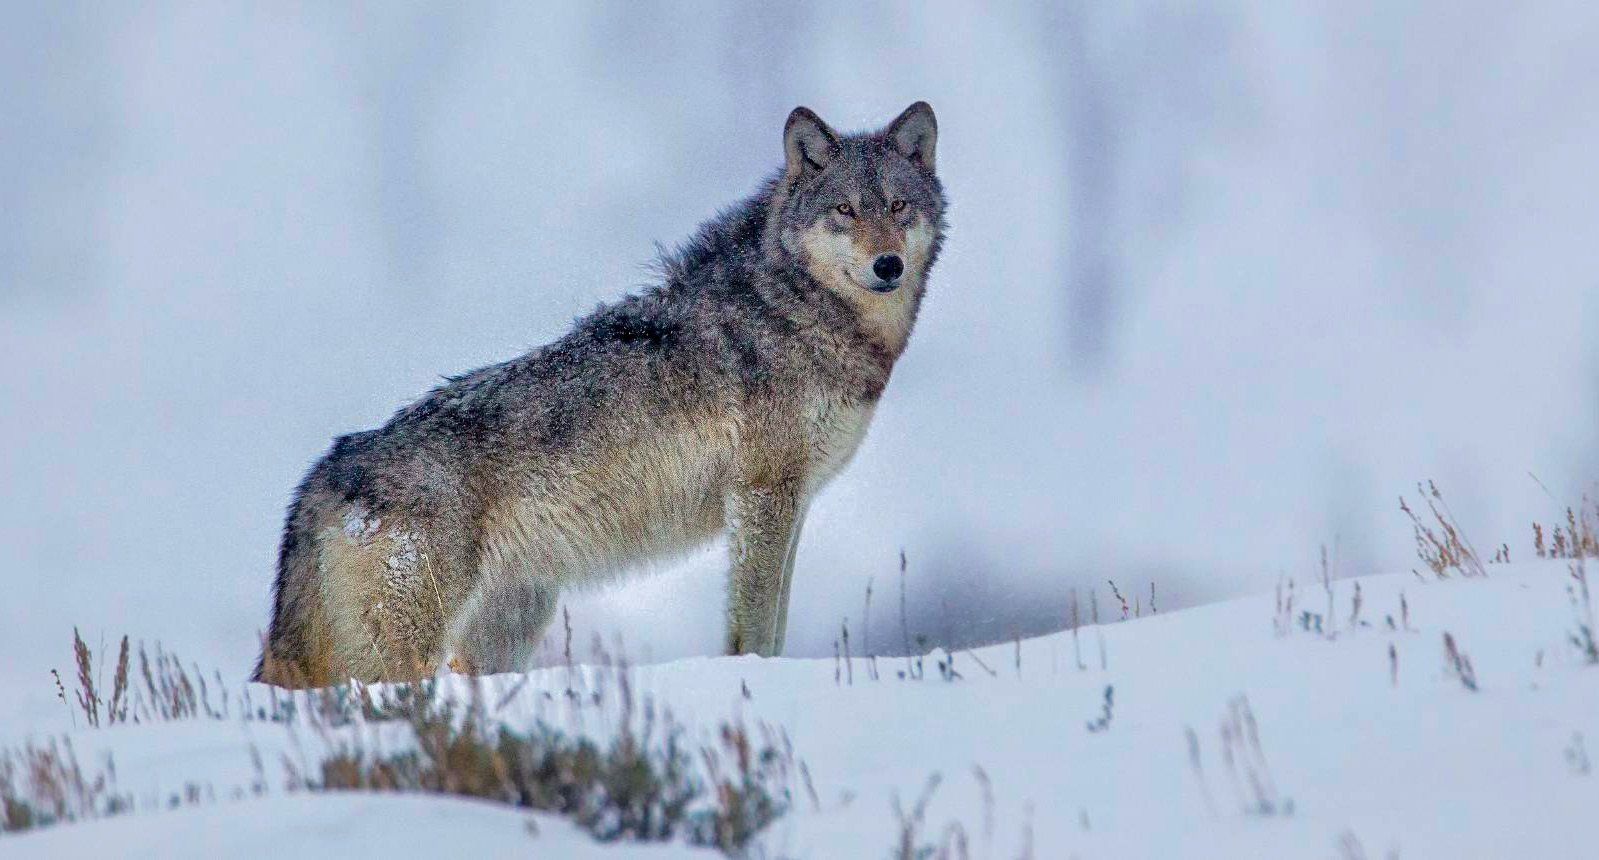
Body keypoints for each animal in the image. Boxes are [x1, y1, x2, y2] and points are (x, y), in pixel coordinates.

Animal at [254, 102, 946, 687]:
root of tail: (323, 475)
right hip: (399, 653)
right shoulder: (762, 499)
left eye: (897, 205)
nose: (887, 265)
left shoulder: (793, 505)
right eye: (846, 211)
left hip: (506, 626)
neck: (800, 311)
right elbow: (754, 629)